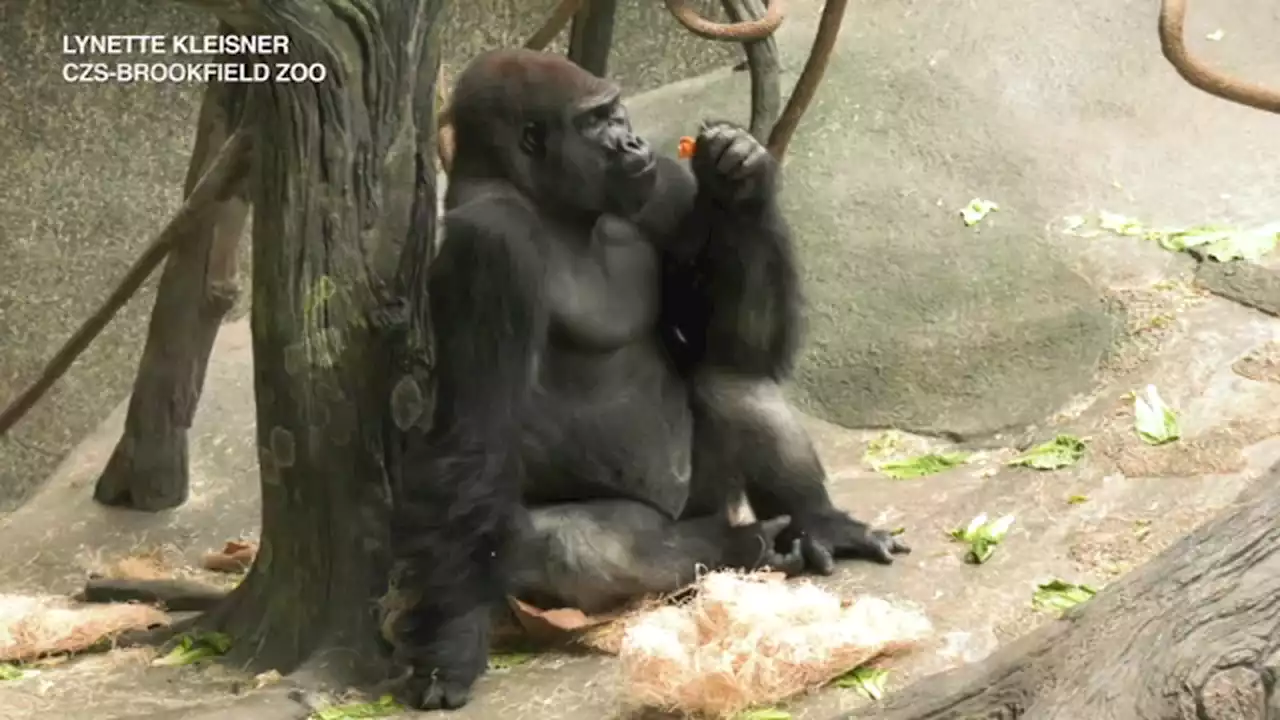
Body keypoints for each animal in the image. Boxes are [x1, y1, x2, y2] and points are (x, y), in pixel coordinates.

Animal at [389, 49, 911, 707]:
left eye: (618, 112)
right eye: (594, 120)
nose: (633, 140)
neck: (550, 204)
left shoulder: (660, 185)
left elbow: (724, 343)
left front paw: (740, 181)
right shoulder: (490, 247)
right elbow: (474, 442)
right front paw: (451, 646)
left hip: (709, 492)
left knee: (729, 379)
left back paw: (818, 523)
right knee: (572, 545)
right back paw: (741, 544)